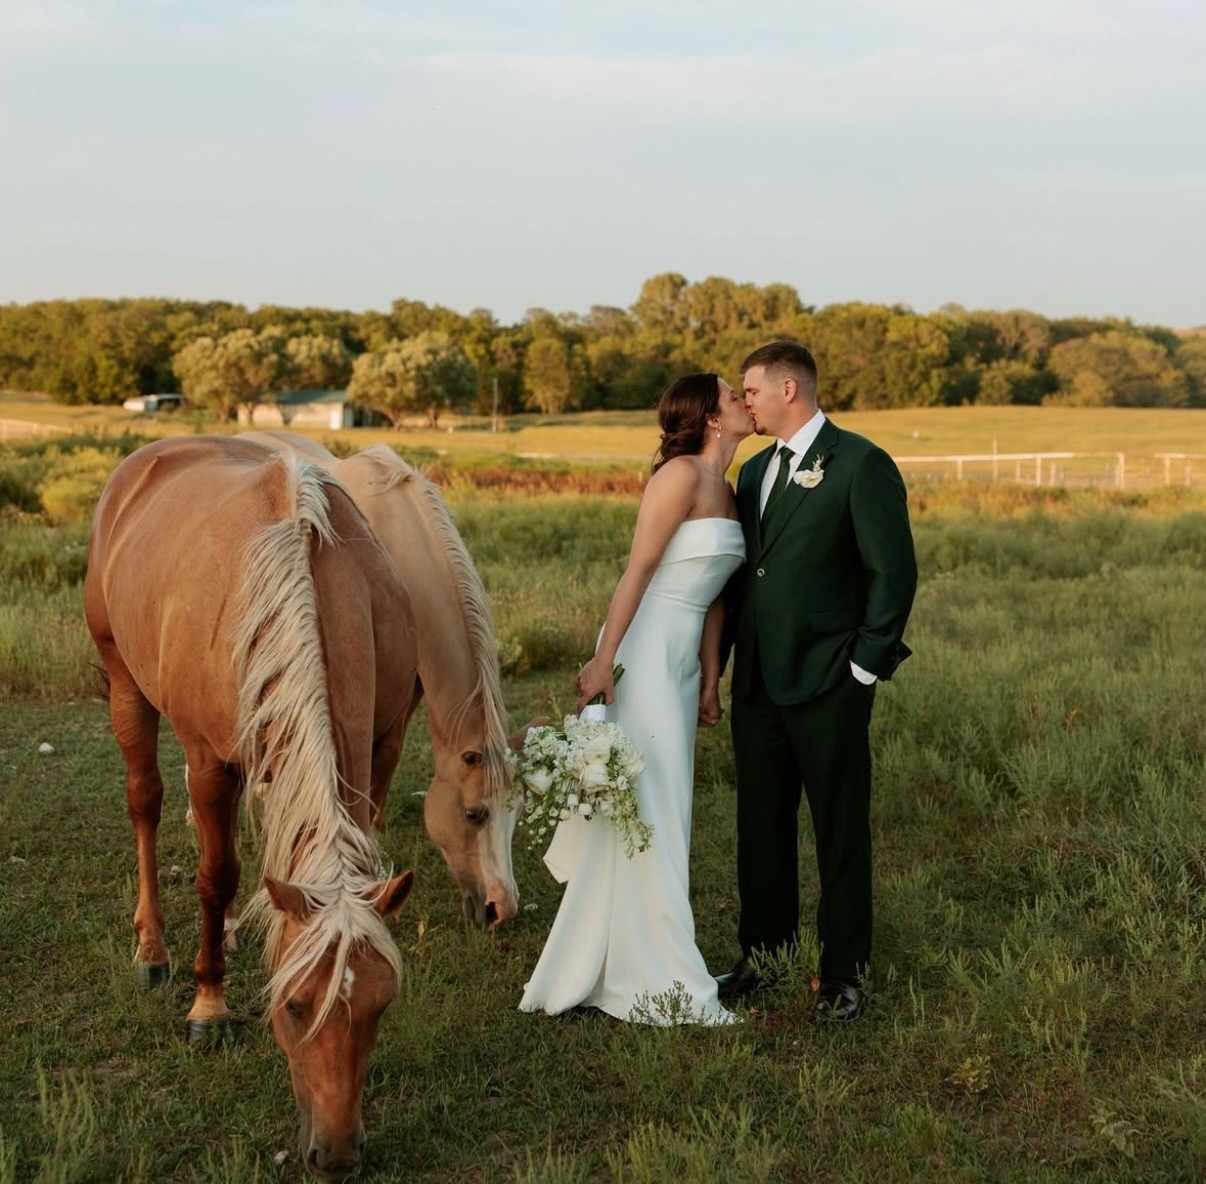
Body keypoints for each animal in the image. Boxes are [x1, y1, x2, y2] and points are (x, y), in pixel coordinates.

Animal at [85, 436, 419, 1181]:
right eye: (293, 1007)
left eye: (383, 1005)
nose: (336, 1154)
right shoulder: (211, 762)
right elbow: (215, 878)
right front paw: (208, 1006)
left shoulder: (379, 748)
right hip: (124, 682)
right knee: (146, 805)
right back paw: (152, 947)